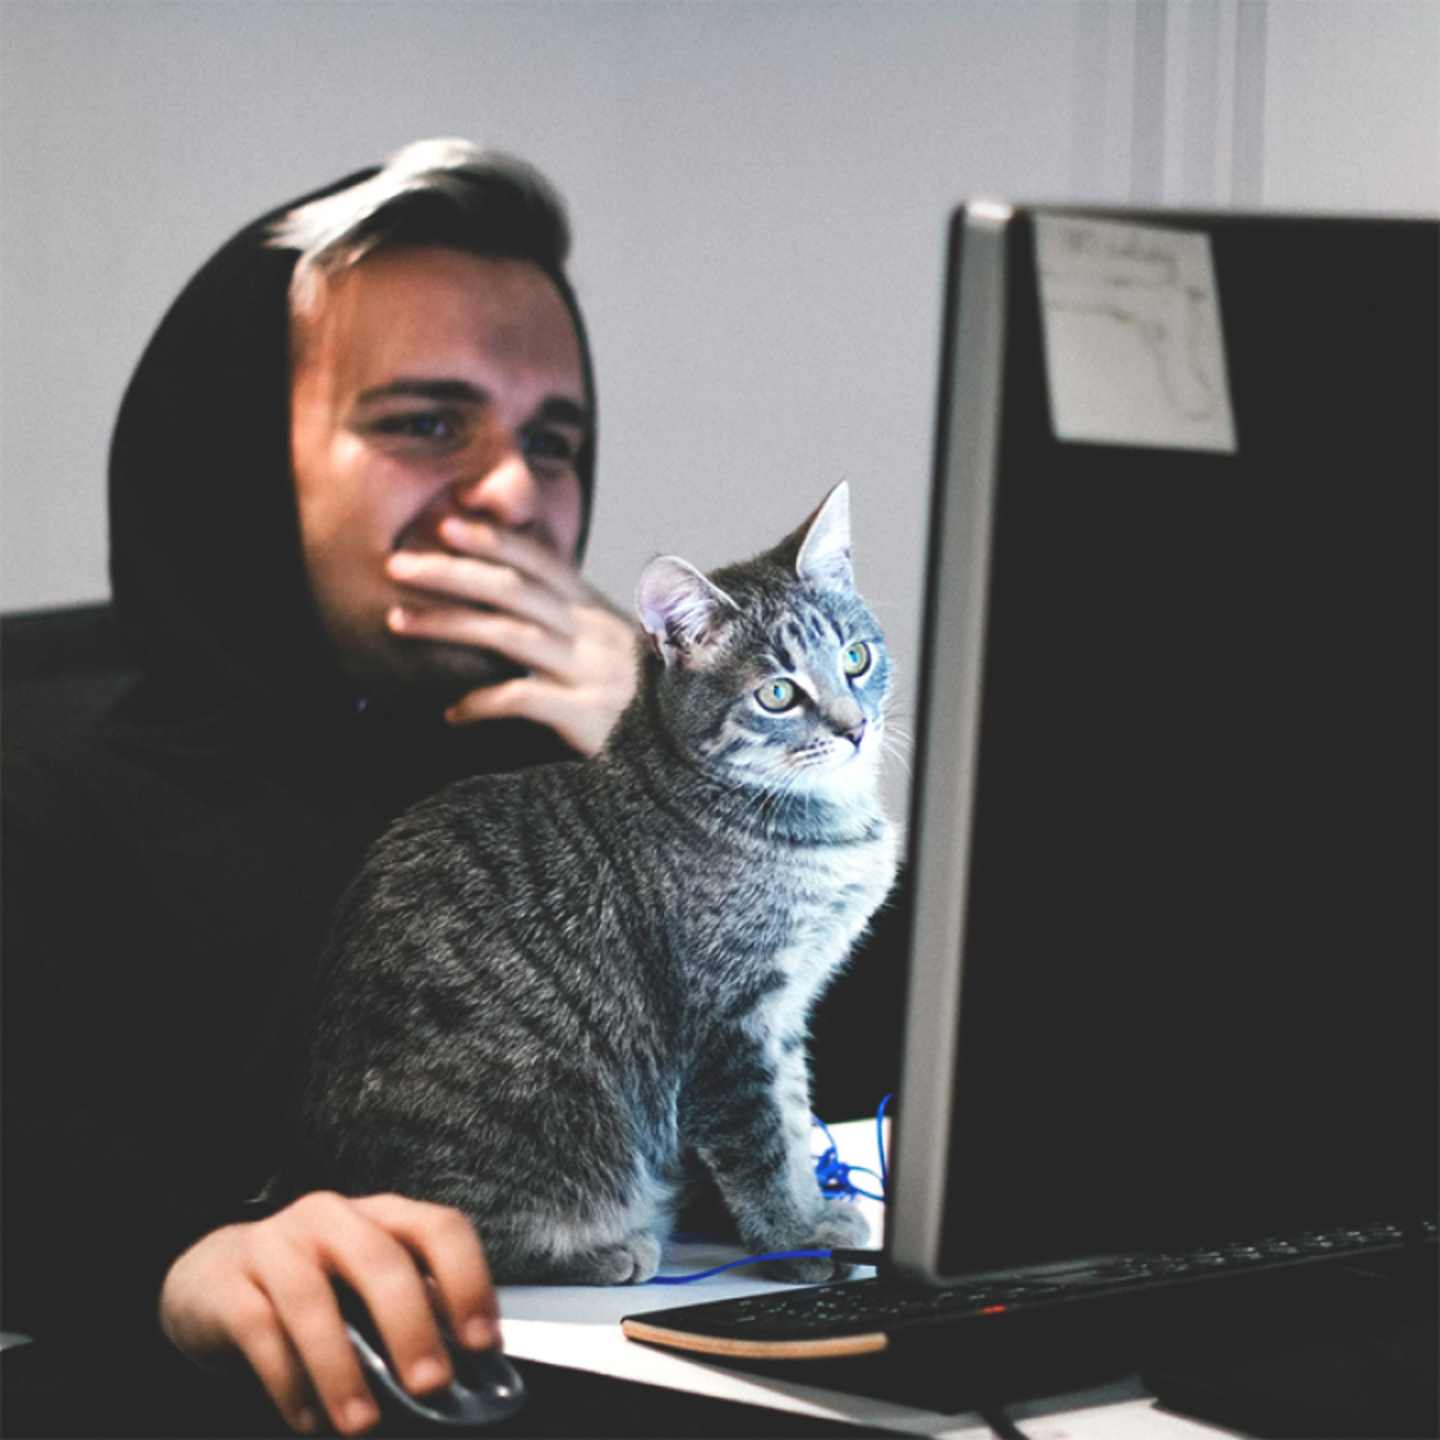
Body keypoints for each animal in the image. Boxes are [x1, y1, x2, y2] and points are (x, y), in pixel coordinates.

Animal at [285, 480, 892, 1284]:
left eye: (856, 657)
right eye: (778, 695)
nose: (855, 727)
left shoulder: (785, 1013)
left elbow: (793, 1119)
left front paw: (818, 1210)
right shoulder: (729, 1024)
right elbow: (761, 1146)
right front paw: (795, 1238)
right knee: (460, 1238)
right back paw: (608, 1249)